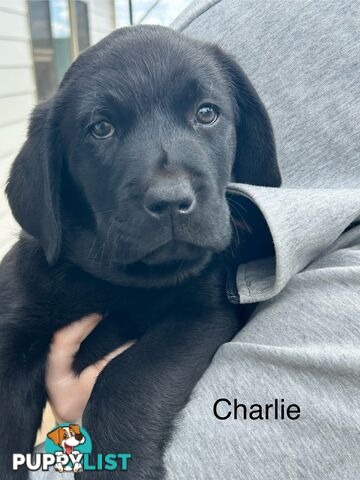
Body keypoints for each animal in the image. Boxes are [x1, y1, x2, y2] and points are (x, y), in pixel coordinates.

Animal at [0, 27, 280, 480]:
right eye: (100, 128)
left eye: (206, 113)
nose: (170, 201)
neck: (116, 281)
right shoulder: (11, 334)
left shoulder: (200, 314)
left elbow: (125, 374)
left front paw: (117, 464)